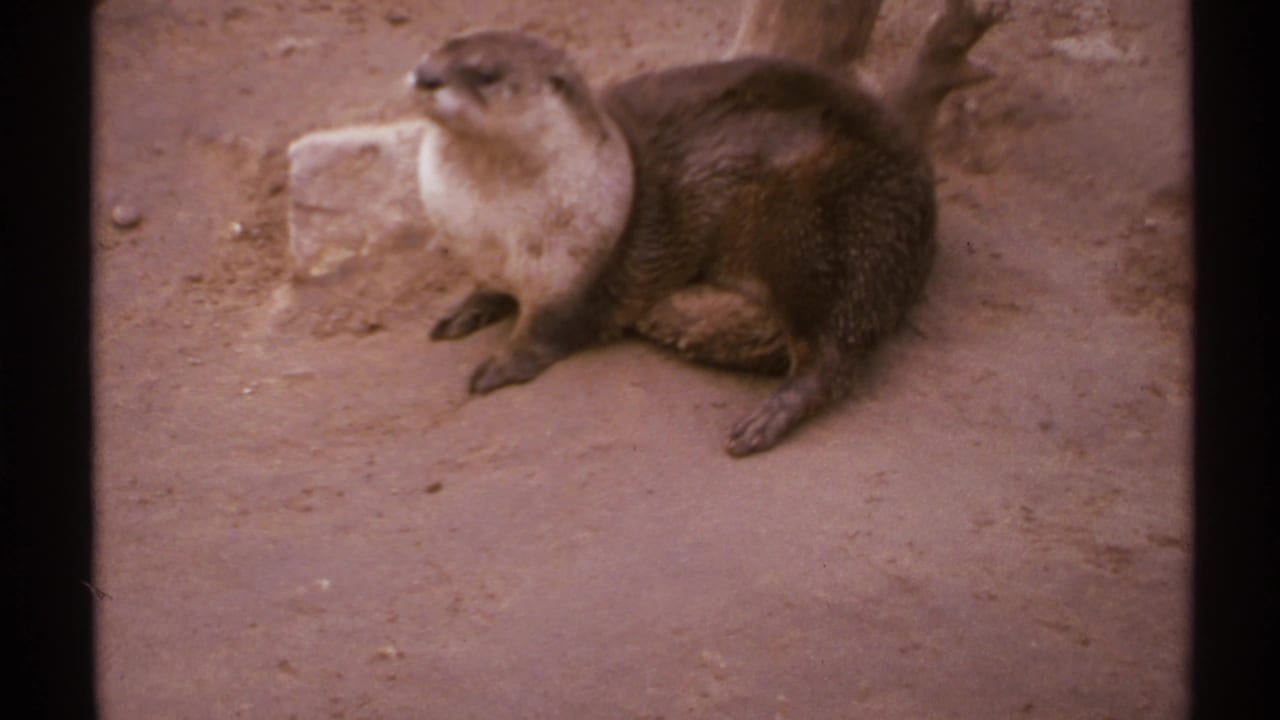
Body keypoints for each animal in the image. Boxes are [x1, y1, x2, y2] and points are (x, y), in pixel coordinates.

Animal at [410, 29, 965, 456]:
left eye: (485, 73)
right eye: (431, 53)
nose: (423, 75)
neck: (495, 226)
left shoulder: (575, 271)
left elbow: (548, 330)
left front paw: (500, 364)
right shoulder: (487, 255)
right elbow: (490, 287)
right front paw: (465, 309)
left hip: (830, 223)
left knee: (835, 346)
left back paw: (766, 420)